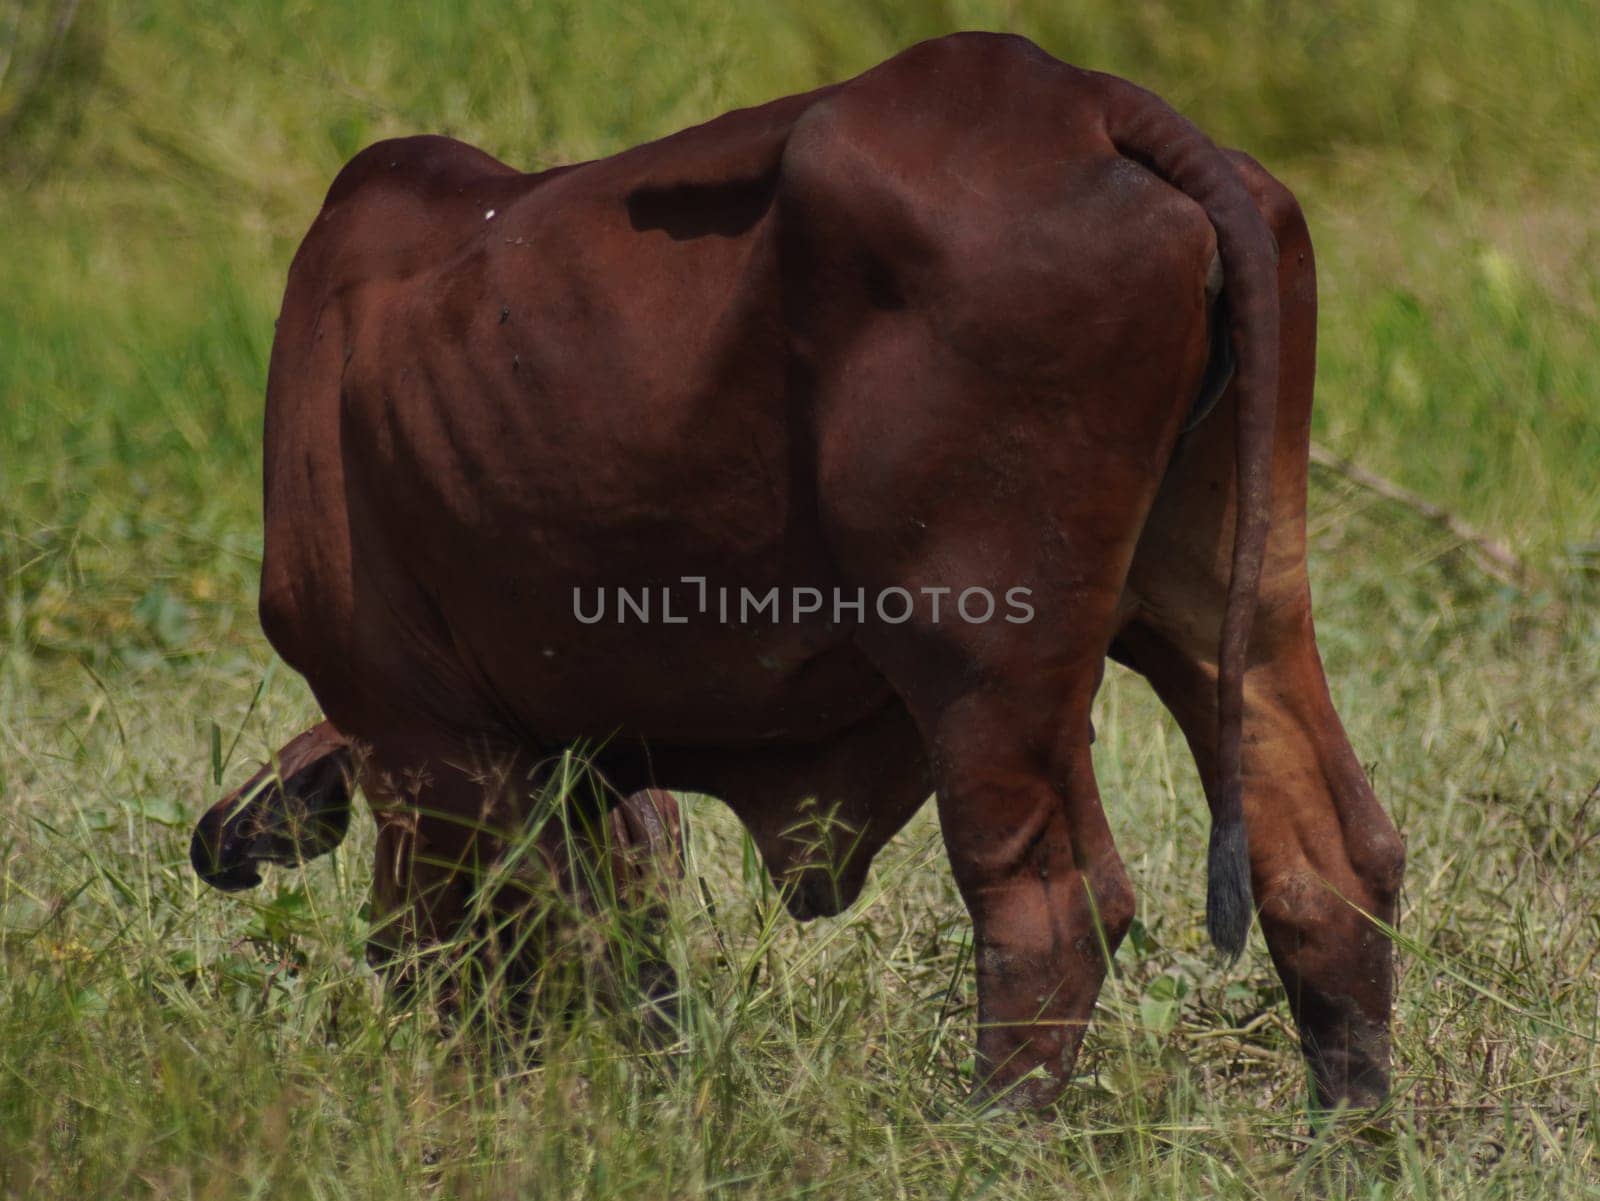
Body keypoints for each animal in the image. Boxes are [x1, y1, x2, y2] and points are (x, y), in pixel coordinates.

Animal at [196, 32, 1401, 1113]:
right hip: (1226, 593)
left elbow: (571, 951)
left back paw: (987, 1133)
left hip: (979, 650)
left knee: (1051, 907)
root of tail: (1081, 99)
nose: (383, 958)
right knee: (1329, 863)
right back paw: (1349, 1133)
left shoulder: (428, 735)